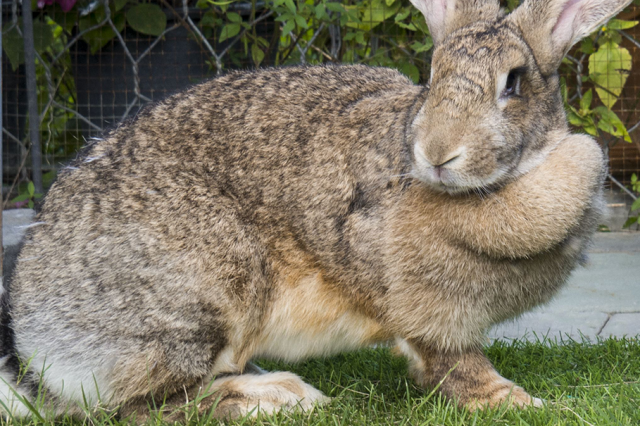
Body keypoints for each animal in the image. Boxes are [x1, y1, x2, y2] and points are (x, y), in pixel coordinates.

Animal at [0, 0, 624, 422]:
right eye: (432, 76)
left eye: (513, 84)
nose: (437, 153)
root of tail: (35, 336)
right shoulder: (425, 310)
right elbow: (453, 363)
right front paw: (518, 402)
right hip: (204, 290)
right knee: (146, 405)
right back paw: (278, 398)